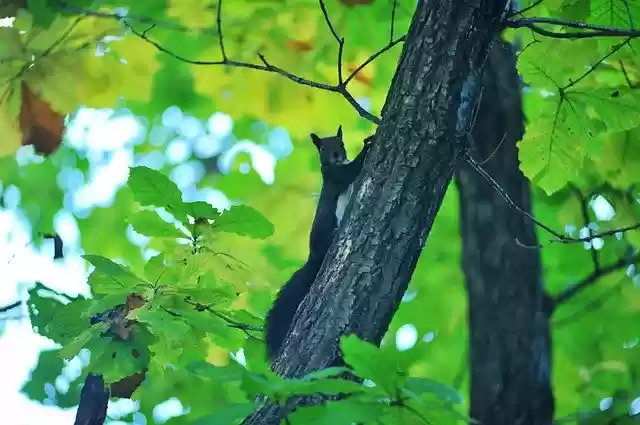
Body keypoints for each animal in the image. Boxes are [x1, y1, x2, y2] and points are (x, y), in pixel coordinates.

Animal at [264, 126, 373, 361]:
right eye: (322, 147)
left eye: (341, 143)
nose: (336, 154)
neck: (336, 164)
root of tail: (314, 258)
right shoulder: (333, 176)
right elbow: (351, 171)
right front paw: (369, 143)